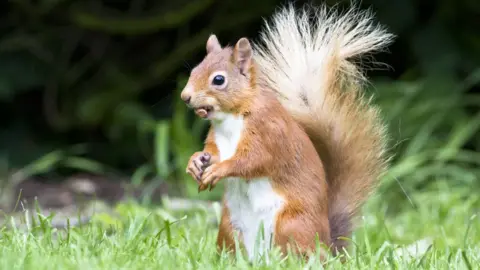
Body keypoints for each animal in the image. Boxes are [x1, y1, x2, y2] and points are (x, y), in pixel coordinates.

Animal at [180, 3, 394, 262]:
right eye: (194, 71)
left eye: (218, 80)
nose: (185, 96)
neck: (231, 118)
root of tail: (327, 247)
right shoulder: (217, 140)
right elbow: (212, 152)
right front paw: (195, 163)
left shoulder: (268, 132)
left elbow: (252, 160)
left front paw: (219, 170)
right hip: (230, 229)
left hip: (290, 225)